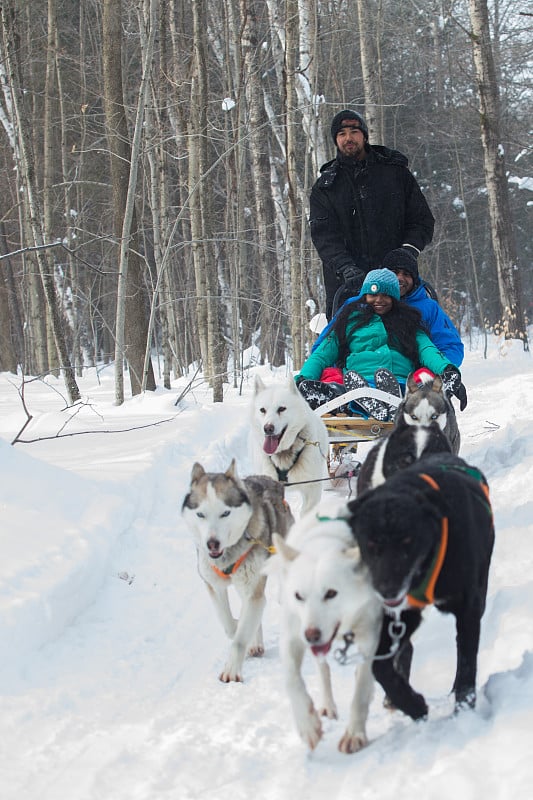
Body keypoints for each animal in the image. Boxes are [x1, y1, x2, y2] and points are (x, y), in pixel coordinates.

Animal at [348, 454, 492, 720]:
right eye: (370, 544)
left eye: (408, 540)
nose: (387, 589)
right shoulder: (399, 614)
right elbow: (379, 666)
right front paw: (411, 704)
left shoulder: (468, 607)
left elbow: (467, 663)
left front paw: (463, 712)